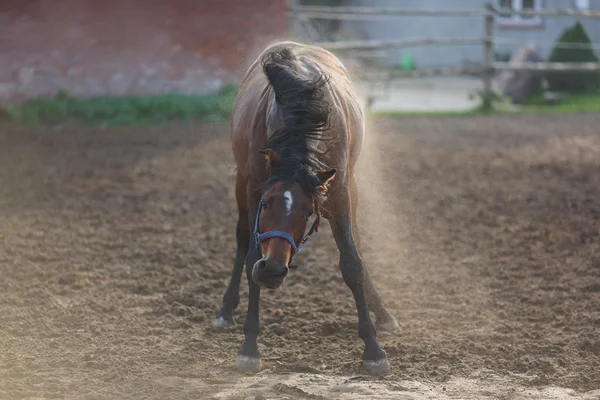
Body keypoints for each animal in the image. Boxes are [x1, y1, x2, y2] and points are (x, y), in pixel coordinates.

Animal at [211, 40, 398, 376]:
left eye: (308, 213)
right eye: (265, 203)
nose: (273, 270)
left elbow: (352, 262)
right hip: (240, 182)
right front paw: (249, 347)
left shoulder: (338, 191)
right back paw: (225, 310)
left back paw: (383, 312)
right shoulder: (253, 187)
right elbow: (251, 256)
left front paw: (373, 348)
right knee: (242, 238)